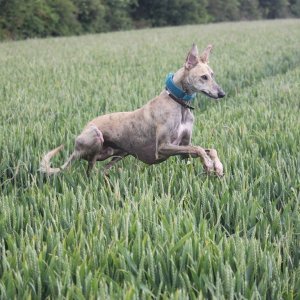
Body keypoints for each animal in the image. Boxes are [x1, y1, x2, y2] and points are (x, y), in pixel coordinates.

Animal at [41, 43, 226, 177]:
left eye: (213, 75)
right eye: (203, 77)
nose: (222, 94)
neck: (178, 102)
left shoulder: (183, 149)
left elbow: (209, 149)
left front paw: (217, 166)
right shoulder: (163, 147)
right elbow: (199, 149)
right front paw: (208, 165)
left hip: (116, 152)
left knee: (101, 169)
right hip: (95, 137)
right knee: (90, 168)